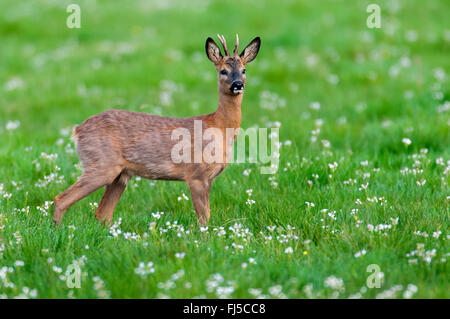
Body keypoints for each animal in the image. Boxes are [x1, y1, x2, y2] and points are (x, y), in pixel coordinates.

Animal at [53, 35, 262, 228]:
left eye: (244, 70)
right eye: (223, 71)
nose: (238, 84)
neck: (218, 127)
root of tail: (78, 130)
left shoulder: (209, 178)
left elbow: (207, 215)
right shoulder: (195, 174)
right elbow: (203, 219)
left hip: (120, 175)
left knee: (102, 214)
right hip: (101, 164)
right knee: (61, 199)